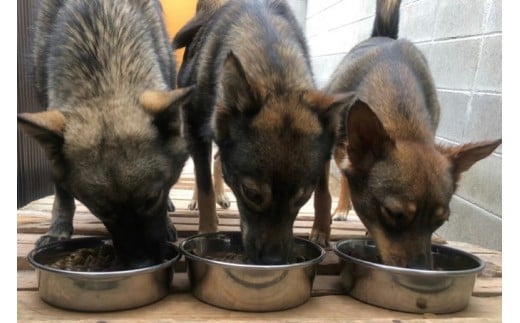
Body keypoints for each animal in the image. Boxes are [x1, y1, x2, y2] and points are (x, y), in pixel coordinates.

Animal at [18, 0, 194, 268]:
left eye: (152, 199)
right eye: (102, 210)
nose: (141, 265)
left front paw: (166, 219)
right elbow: (62, 193)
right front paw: (58, 230)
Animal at [172, 0, 350, 264]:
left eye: (302, 198)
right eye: (251, 194)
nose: (273, 261)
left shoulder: (325, 147)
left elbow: (324, 193)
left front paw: (320, 229)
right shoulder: (195, 130)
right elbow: (205, 190)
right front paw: (207, 233)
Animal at [322, 0, 502, 270]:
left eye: (441, 221)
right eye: (395, 214)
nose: (422, 270)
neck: (402, 122)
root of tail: (386, 36)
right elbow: (322, 194)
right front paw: (320, 230)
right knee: (343, 174)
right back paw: (341, 209)